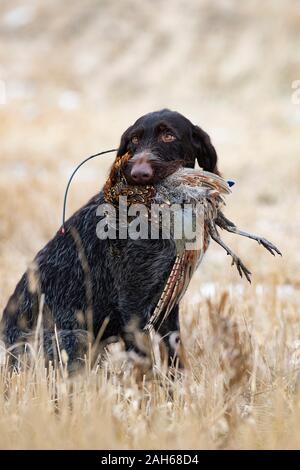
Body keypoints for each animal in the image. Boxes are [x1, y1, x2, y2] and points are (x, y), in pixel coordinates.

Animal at [1, 108, 219, 370]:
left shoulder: (166, 305)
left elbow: (174, 355)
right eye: (134, 139)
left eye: (169, 136)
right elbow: (145, 365)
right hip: (77, 337)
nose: (138, 174)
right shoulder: (132, 308)